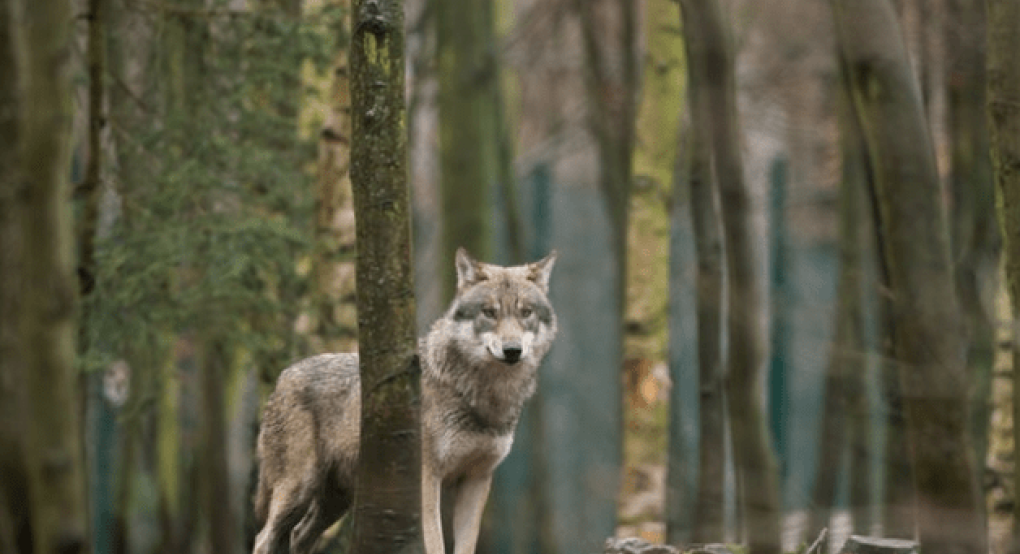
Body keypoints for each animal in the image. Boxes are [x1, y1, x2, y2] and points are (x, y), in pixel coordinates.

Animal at [252, 249, 558, 554]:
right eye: (489, 313)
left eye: (526, 313)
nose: (512, 350)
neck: (484, 395)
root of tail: (283, 376)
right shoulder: (428, 478)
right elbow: (435, 543)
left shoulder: (477, 479)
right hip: (299, 489)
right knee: (263, 538)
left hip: (335, 501)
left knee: (298, 535)